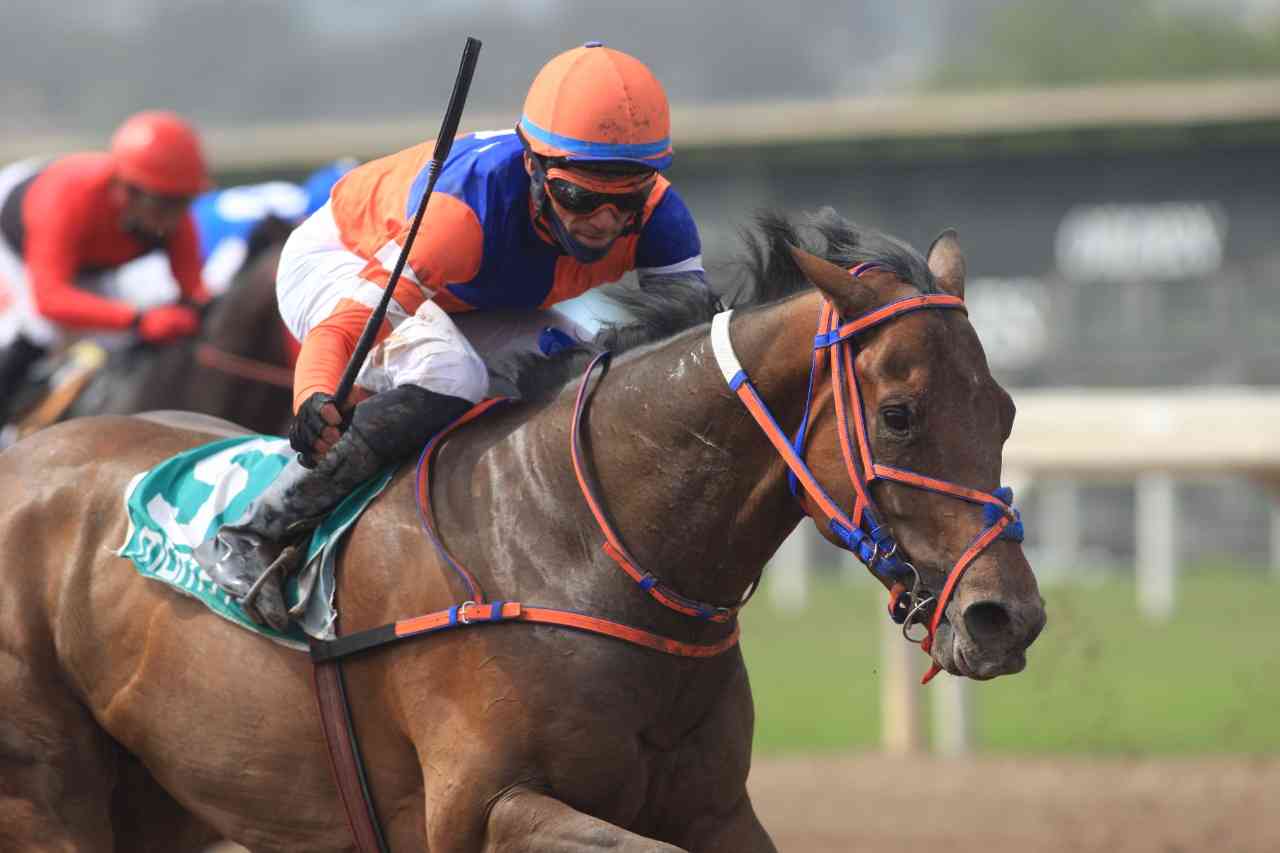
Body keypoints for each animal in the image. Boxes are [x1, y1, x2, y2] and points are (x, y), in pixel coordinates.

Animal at [0, 209, 1045, 852]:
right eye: (901, 414)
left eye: (1003, 409)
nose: (1007, 616)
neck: (577, 544)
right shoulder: (481, 809)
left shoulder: (715, 807)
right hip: (47, 794)